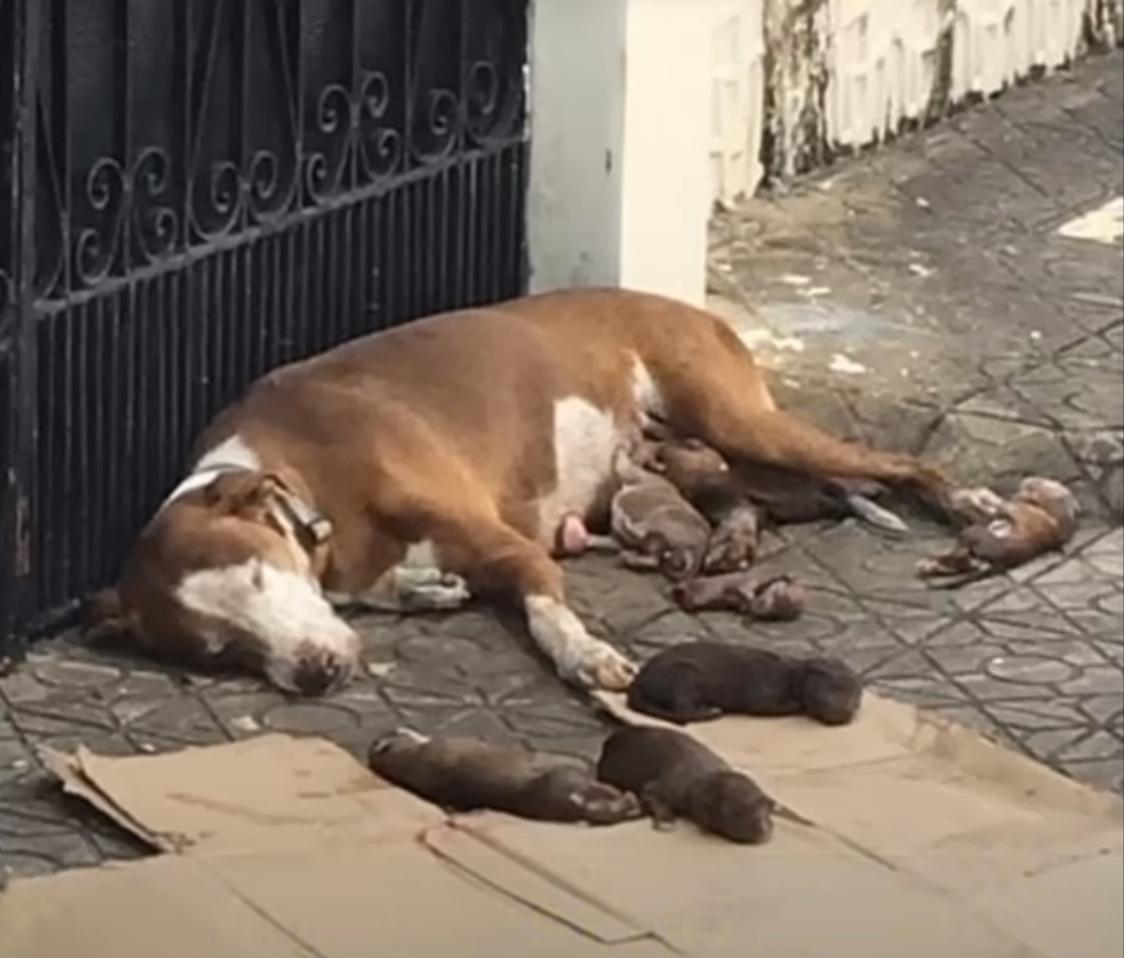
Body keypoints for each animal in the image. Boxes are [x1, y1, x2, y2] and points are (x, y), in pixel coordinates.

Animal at [597, 728, 782, 841]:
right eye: (735, 812)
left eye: (764, 807)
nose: (762, 827)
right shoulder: (656, 788)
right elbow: (655, 797)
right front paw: (666, 821)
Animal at [624, 643, 858, 724]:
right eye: (832, 691)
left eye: (856, 697)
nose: (846, 711)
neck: (792, 676)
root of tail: (638, 681)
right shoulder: (765, 693)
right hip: (683, 673)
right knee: (683, 709)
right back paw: (710, 711)